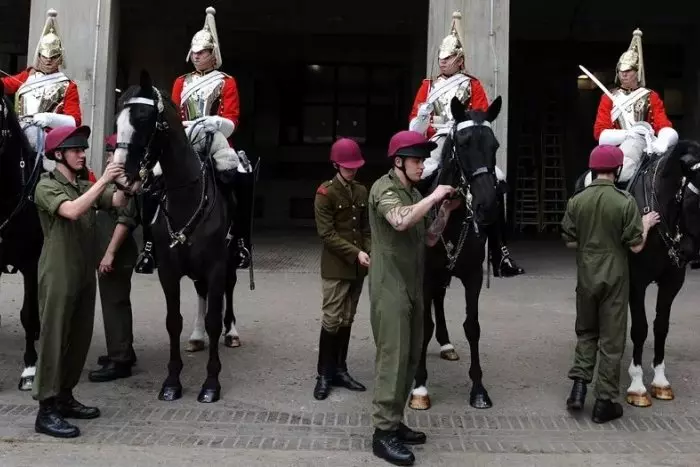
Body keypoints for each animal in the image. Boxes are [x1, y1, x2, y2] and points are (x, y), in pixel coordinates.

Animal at [114, 71, 232, 404]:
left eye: (143, 118)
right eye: (117, 119)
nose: (121, 174)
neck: (187, 195)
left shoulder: (217, 266)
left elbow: (214, 318)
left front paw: (211, 383)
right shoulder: (168, 269)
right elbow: (173, 321)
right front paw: (172, 381)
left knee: (228, 294)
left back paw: (232, 333)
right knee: (202, 294)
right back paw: (196, 337)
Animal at [410, 97, 504, 412]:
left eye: (495, 145)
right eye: (463, 144)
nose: (488, 205)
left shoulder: (472, 276)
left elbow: (472, 326)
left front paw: (479, 389)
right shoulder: (425, 276)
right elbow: (423, 325)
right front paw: (419, 386)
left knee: (439, 300)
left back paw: (447, 344)